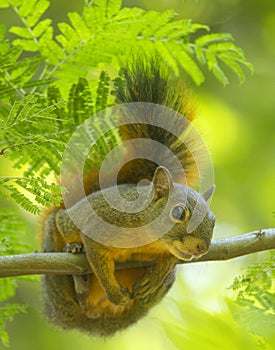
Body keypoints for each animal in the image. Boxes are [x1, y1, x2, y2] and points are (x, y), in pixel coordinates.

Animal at [42, 56, 217, 336]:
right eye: (178, 212)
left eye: (213, 221)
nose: (203, 248)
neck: (148, 237)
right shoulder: (102, 222)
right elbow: (97, 256)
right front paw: (114, 292)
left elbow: (172, 259)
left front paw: (159, 273)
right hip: (57, 237)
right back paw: (77, 269)